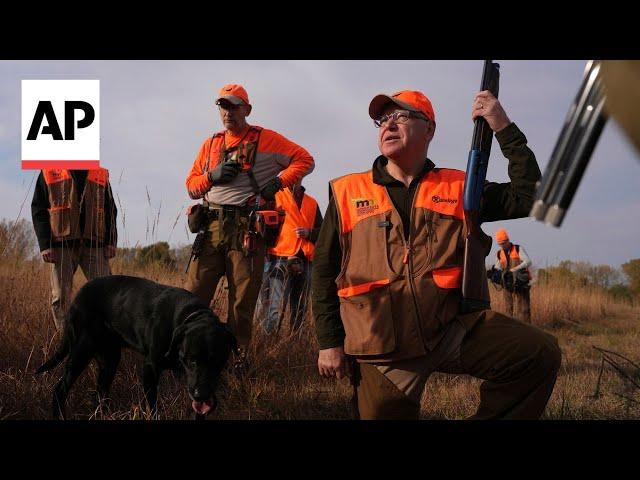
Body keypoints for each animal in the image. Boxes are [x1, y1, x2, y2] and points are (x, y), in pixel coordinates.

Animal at [35, 276, 236, 418]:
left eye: (218, 362)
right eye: (191, 360)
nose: (201, 394)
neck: (188, 315)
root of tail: (77, 296)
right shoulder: (150, 368)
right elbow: (153, 407)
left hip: (110, 360)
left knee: (100, 393)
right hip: (81, 351)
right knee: (60, 389)